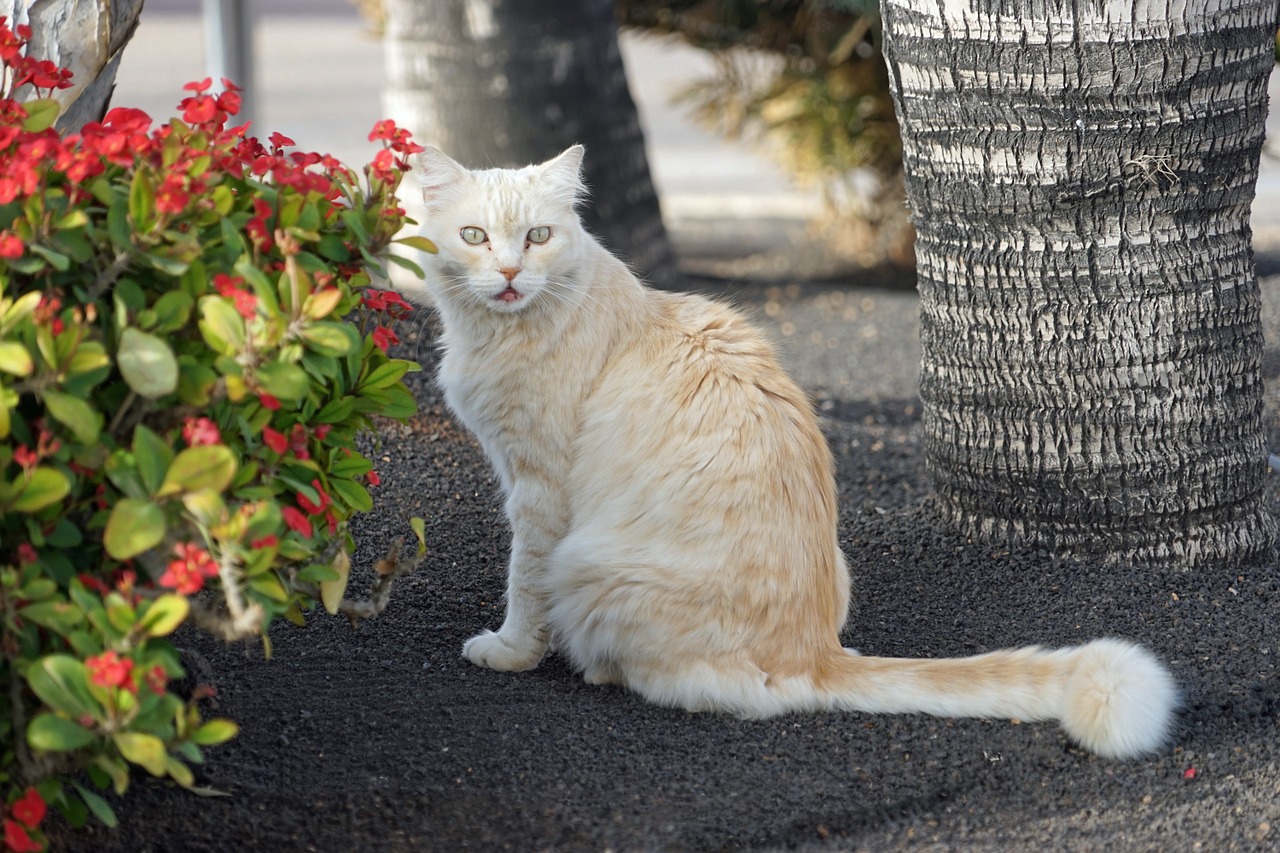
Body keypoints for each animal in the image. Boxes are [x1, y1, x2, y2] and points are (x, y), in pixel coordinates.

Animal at [409, 144, 1177, 758]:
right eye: (475, 237)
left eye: (537, 236)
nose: (511, 274)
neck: (507, 332)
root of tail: (816, 653)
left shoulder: (537, 491)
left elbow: (522, 585)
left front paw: (510, 652)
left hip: (589, 567)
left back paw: (599, 665)